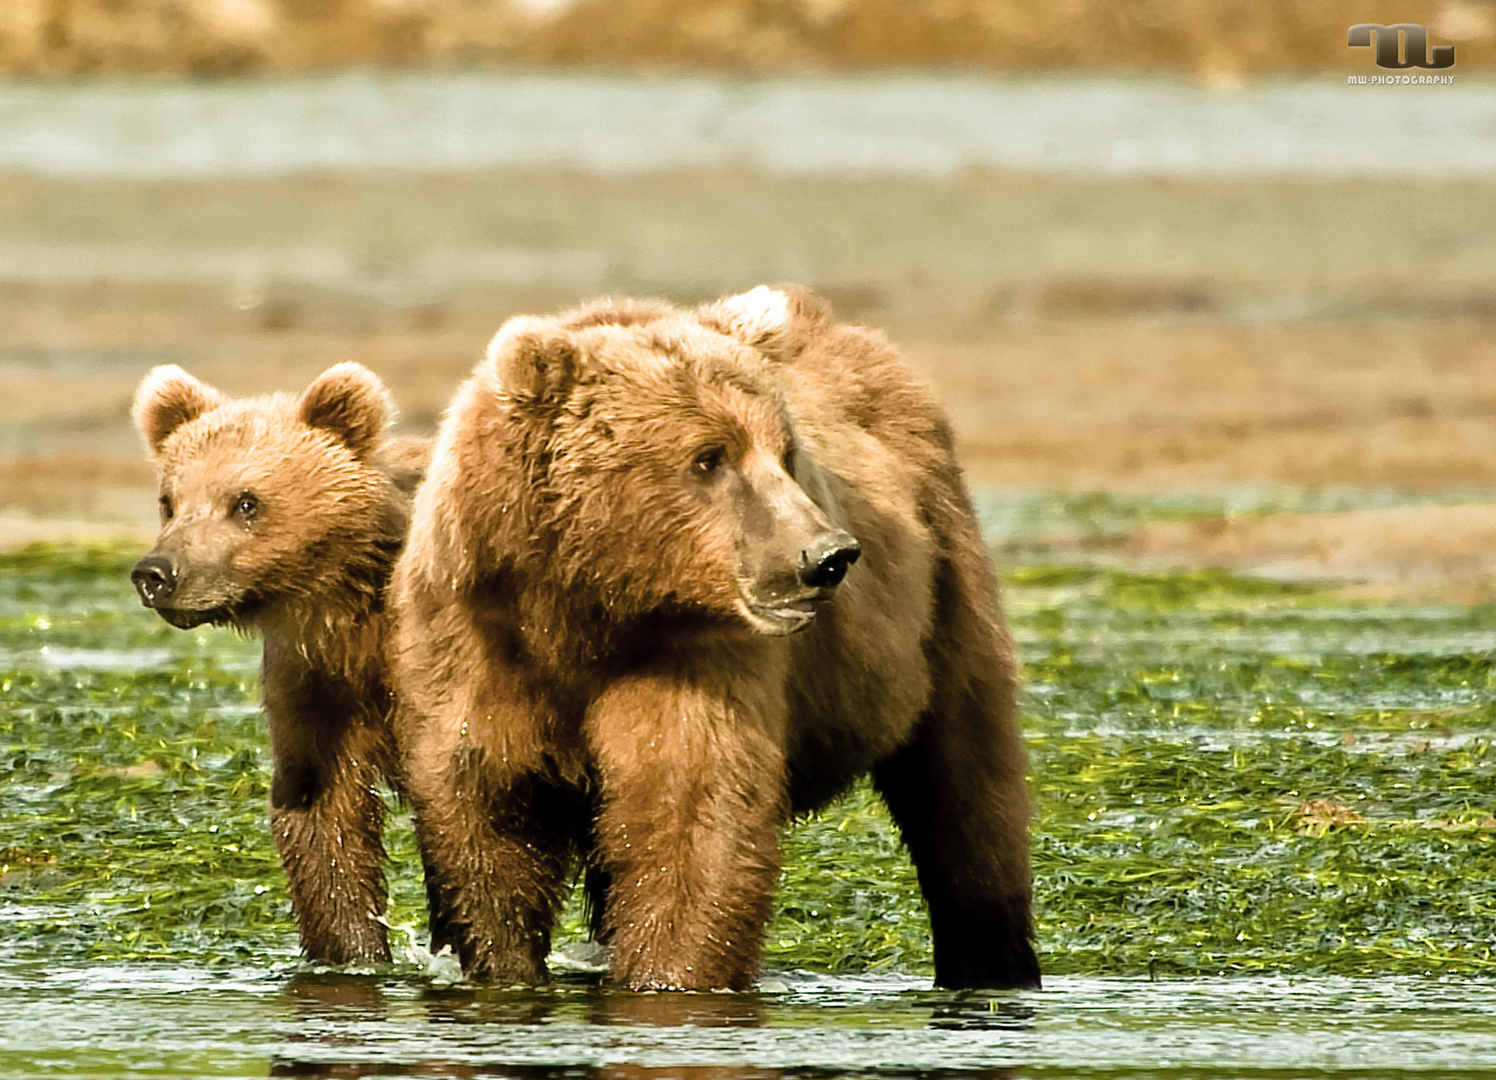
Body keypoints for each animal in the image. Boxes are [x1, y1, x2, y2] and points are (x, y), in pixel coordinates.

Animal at [128, 361, 427, 957]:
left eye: (246, 501)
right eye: (169, 500)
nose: (157, 574)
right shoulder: (314, 682)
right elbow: (321, 819)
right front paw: (353, 951)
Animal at [391, 284, 1035, 987]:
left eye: (785, 454)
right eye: (709, 456)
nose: (827, 556)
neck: (586, 610)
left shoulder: (695, 662)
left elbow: (692, 823)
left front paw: (668, 978)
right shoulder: (477, 647)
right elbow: (488, 824)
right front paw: (503, 969)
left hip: (942, 585)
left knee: (967, 786)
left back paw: (994, 964)